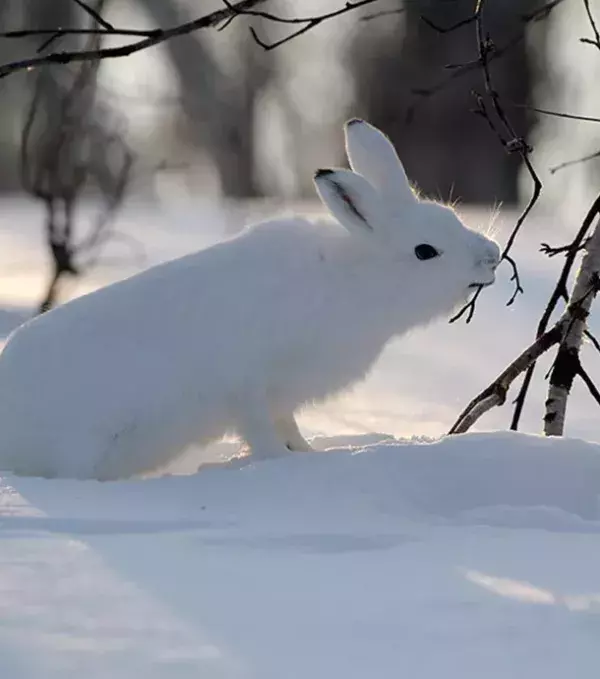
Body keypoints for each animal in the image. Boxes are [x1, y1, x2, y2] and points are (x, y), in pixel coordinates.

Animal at [0, 119, 500, 481]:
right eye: (425, 251)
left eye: (452, 217)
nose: (492, 256)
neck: (354, 279)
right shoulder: (248, 387)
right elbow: (262, 432)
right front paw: (281, 465)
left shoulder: (282, 396)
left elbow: (288, 427)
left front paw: (308, 455)